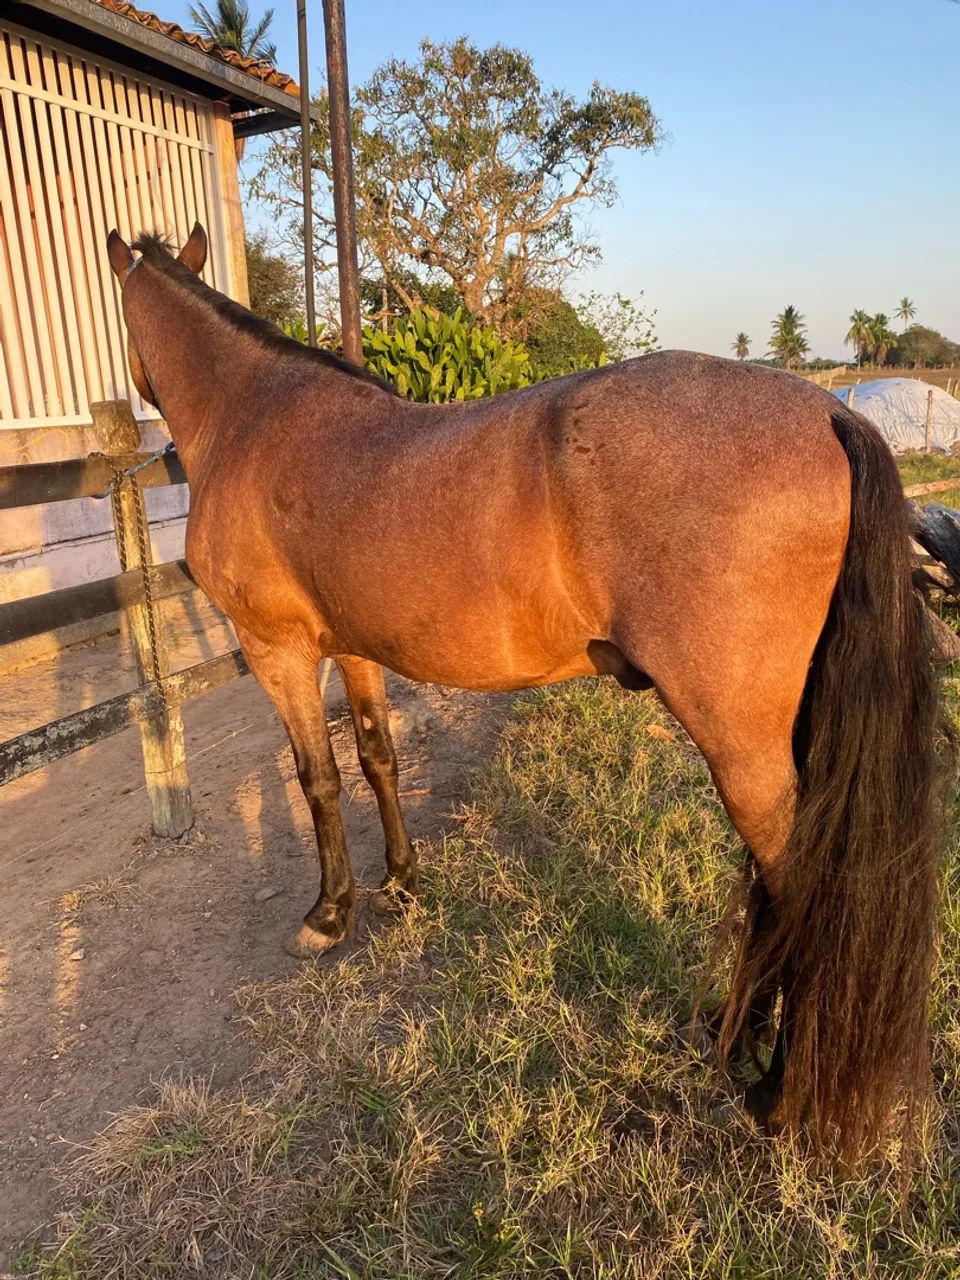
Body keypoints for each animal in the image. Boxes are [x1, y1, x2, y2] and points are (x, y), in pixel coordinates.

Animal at [106, 223, 948, 1164]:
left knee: (798, 885)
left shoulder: (279, 653)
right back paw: (734, 1033)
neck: (256, 416)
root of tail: (832, 414)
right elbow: (375, 755)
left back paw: (774, 1092)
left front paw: (329, 915)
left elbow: (317, 782)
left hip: (739, 741)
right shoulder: (353, 650)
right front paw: (402, 880)